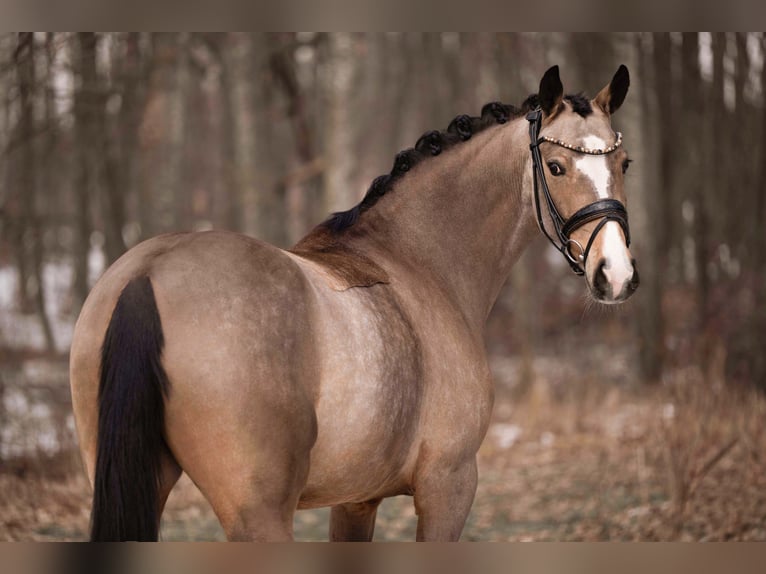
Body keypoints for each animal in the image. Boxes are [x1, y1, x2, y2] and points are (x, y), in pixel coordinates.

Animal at [69, 65, 639, 541]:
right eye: (557, 167)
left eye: (624, 162)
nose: (615, 274)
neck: (418, 261)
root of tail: (149, 273)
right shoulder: (449, 486)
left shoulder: (356, 500)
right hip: (260, 517)